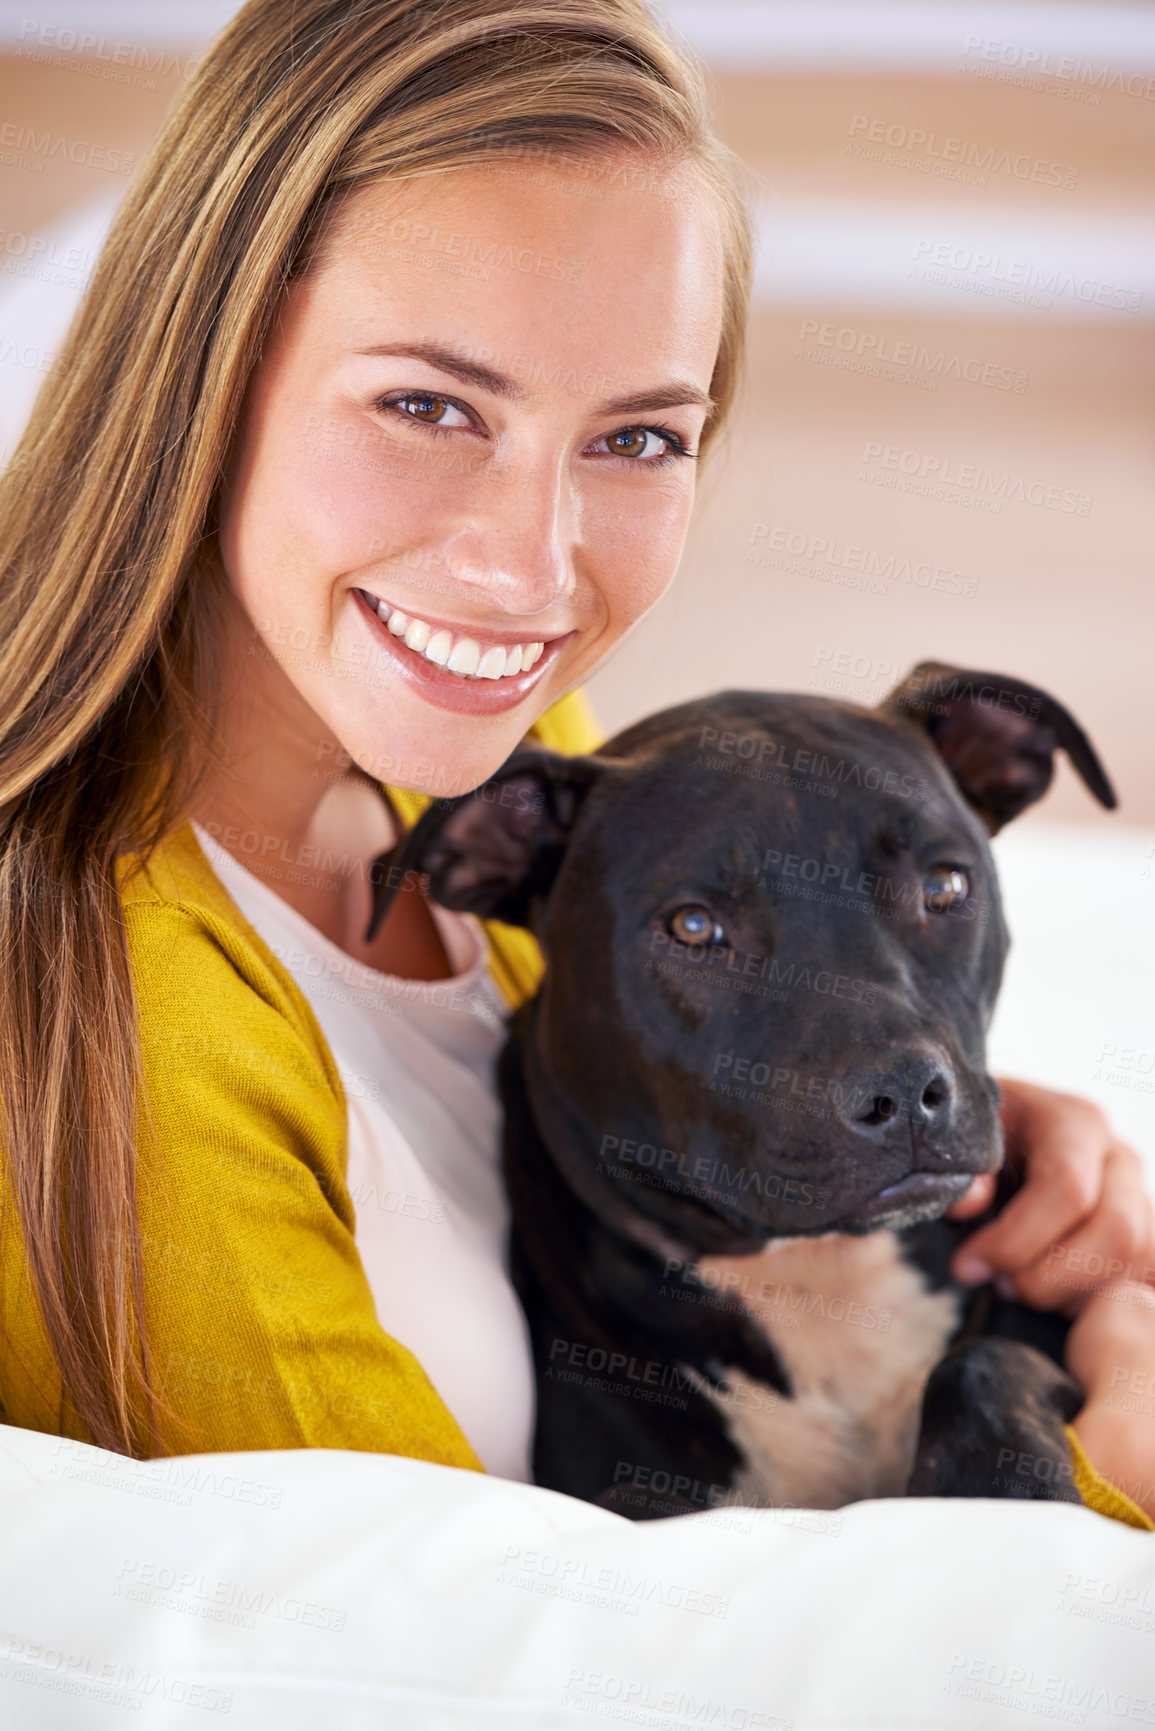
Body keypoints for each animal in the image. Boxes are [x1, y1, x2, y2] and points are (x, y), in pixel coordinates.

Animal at [370, 661, 1122, 1516]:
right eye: (693, 927)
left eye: (943, 885)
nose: (905, 1093)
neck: (817, 1277)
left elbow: (985, 1360)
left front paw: (994, 1482)